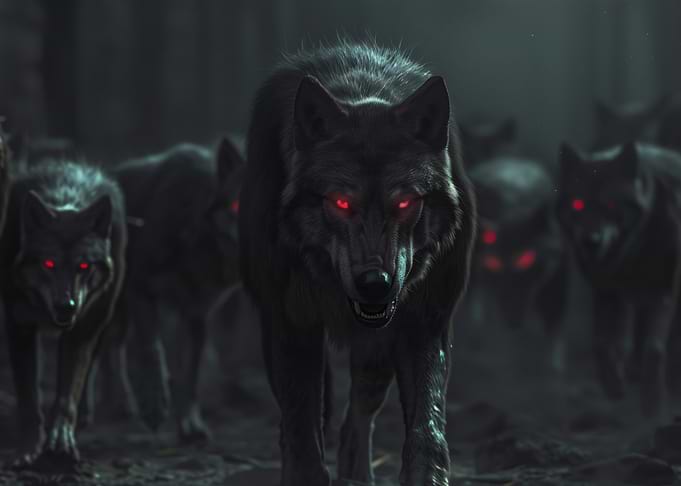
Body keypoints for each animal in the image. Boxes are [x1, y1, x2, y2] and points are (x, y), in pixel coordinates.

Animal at [0, 159, 126, 467]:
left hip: (99, 323)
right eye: (48, 263)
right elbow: (28, 395)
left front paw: (61, 441)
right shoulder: (19, 325)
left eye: (84, 266)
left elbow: (68, 393)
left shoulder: (85, 327)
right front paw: (28, 448)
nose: (65, 306)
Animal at [91, 139, 243, 441]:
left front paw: (191, 425)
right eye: (236, 204)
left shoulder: (195, 314)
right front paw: (154, 407)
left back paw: (117, 405)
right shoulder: (141, 289)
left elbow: (189, 375)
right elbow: (153, 350)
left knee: (113, 349)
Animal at [239, 42, 476, 486]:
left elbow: (427, 428)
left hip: (375, 354)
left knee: (356, 421)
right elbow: (301, 429)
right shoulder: (292, 324)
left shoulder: (427, 320)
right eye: (341, 202)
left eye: (405, 202)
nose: (375, 283)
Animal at [556, 142, 681, 416]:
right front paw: (614, 385)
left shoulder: (663, 292)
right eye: (578, 204)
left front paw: (653, 404)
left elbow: (655, 349)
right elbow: (602, 344)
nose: (591, 242)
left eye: (610, 207)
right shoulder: (608, 291)